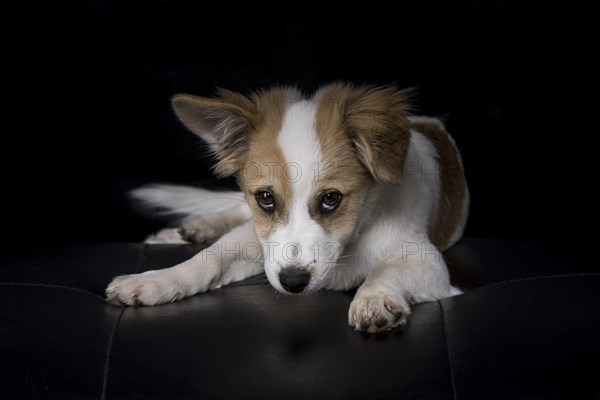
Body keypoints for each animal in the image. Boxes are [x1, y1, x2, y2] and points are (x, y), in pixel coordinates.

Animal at [106, 83, 468, 332]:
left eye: (331, 198)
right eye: (266, 197)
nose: (293, 283)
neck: (354, 235)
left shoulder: (428, 262)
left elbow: (387, 270)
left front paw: (375, 298)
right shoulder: (263, 241)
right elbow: (210, 259)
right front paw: (157, 280)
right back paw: (190, 229)